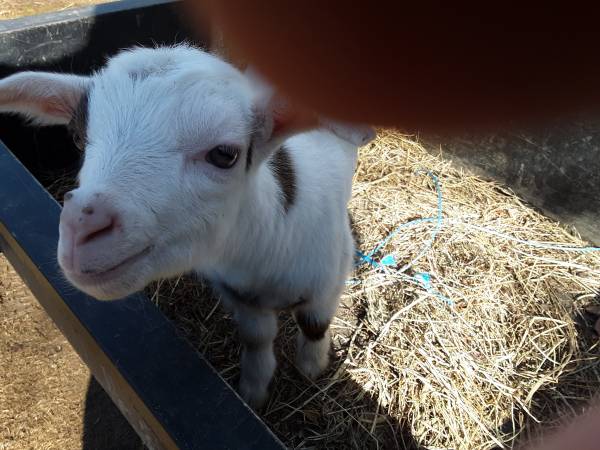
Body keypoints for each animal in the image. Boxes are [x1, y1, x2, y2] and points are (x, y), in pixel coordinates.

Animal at [0, 45, 374, 408]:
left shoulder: (328, 279)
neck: (265, 244)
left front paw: (312, 368)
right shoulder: (237, 294)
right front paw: (254, 389)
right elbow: (256, 338)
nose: (82, 228)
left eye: (224, 154)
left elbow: (314, 326)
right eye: (78, 138)